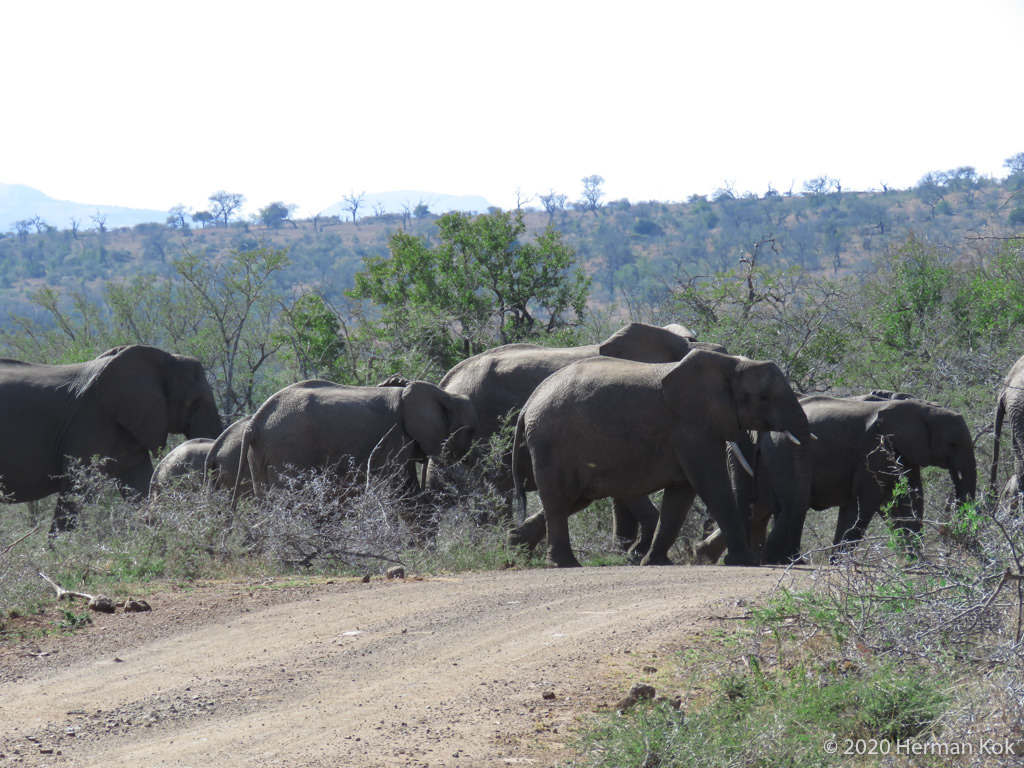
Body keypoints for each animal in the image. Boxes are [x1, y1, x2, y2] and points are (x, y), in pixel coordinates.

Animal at [0, 344, 222, 532]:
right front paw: (58, 553)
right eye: (196, 402)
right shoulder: (90, 421)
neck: (165, 359)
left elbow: (140, 484)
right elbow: (78, 488)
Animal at [236, 379, 478, 531]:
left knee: (268, 506)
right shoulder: (395, 437)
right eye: (470, 431)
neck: (444, 395)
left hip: (260, 455)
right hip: (289, 450)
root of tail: (254, 423)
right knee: (290, 506)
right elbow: (400, 491)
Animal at [507, 349, 811, 568]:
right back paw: (563, 564)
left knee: (573, 498)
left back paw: (516, 545)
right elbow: (712, 484)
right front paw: (745, 563)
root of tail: (529, 403)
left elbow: (681, 495)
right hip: (552, 440)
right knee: (560, 498)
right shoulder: (690, 427)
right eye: (764, 397)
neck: (731, 364)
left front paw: (655, 562)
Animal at [700, 393, 978, 564]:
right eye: (953, 444)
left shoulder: (903, 452)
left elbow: (908, 500)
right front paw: (840, 562)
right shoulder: (876, 448)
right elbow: (868, 499)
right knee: (783, 502)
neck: (923, 408)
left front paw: (918, 562)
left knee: (773, 505)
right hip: (782, 451)